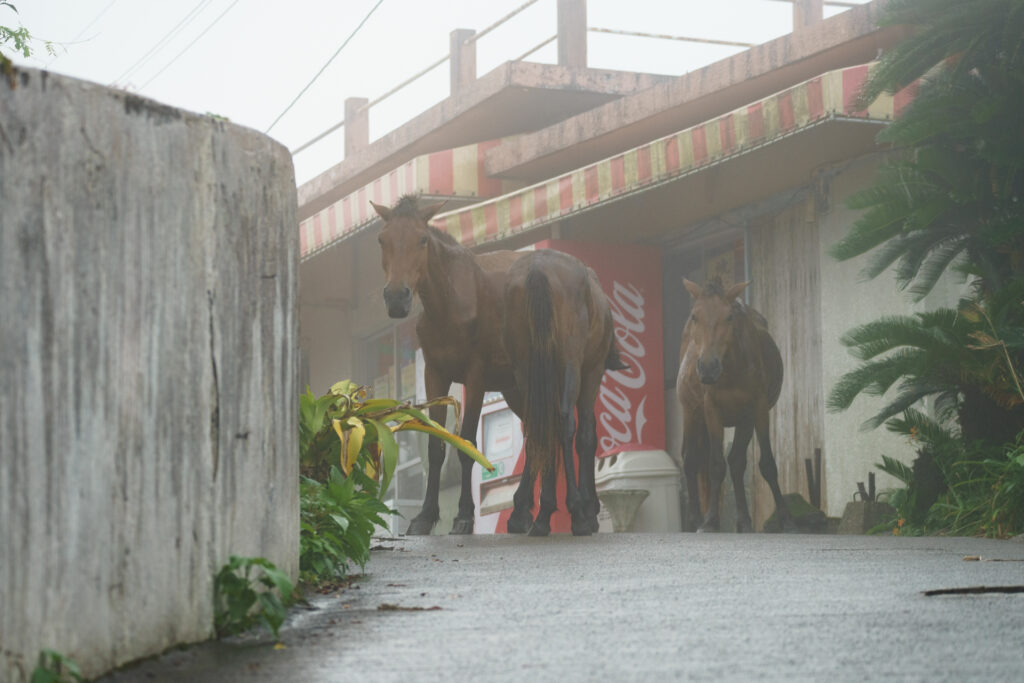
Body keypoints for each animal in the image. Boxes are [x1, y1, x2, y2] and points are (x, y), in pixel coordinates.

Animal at [497, 248, 622, 536]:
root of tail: (539, 269)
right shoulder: (592, 371)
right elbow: (586, 435)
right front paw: (586, 507)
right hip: (570, 362)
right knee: (565, 423)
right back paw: (575, 511)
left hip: (527, 368)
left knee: (539, 428)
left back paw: (535, 513)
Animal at [675, 278, 794, 532]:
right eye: (694, 316)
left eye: (729, 317)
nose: (708, 368)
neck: (731, 372)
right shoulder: (711, 410)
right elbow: (716, 464)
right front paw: (710, 521)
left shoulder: (757, 409)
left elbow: (766, 463)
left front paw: (787, 519)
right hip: (691, 412)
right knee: (690, 459)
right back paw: (695, 519)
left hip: (743, 420)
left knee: (737, 461)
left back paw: (743, 521)